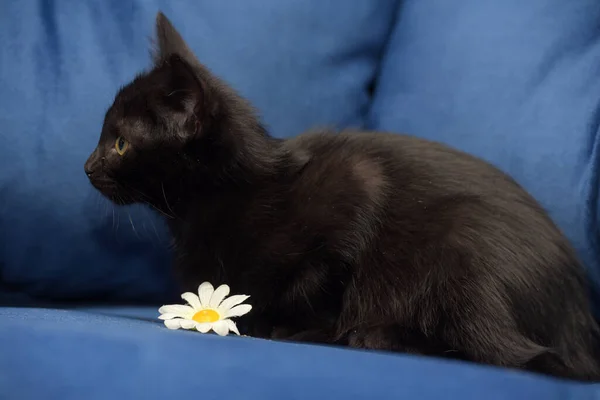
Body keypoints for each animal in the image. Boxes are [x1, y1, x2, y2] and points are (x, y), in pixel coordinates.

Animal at [85, 12, 600, 382]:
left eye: (120, 143)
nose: (86, 166)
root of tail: (580, 320)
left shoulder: (354, 186)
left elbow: (320, 279)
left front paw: (289, 326)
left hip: (463, 245)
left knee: (514, 352)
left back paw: (379, 334)